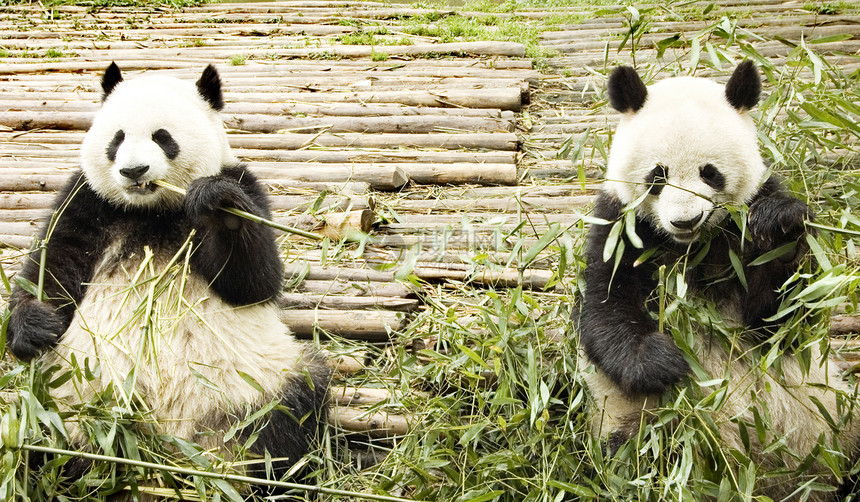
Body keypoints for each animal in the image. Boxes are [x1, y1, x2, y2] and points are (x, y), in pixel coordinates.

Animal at [5, 62, 330, 486]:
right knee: (40, 431)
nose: (133, 170)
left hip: (257, 381)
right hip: (65, 395)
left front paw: (218, 204)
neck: (152, 208)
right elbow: (54, 263)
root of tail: (164, 440)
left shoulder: (244, 184)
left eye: (163, 138)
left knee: (290, 413)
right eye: (117, 138)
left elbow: (254, 281)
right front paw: (35, 327)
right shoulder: (87, 199)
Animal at [576, 60, 860, 500]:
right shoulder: (620, 227)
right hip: (639, 424)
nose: (685, 220)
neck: (691, 248)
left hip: (836, 424)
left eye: (710, 174)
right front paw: (663, 361)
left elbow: (779, 320)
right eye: (657, 176)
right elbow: (605, 308)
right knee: (640, 455)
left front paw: (780, 224)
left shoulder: (747, 220)